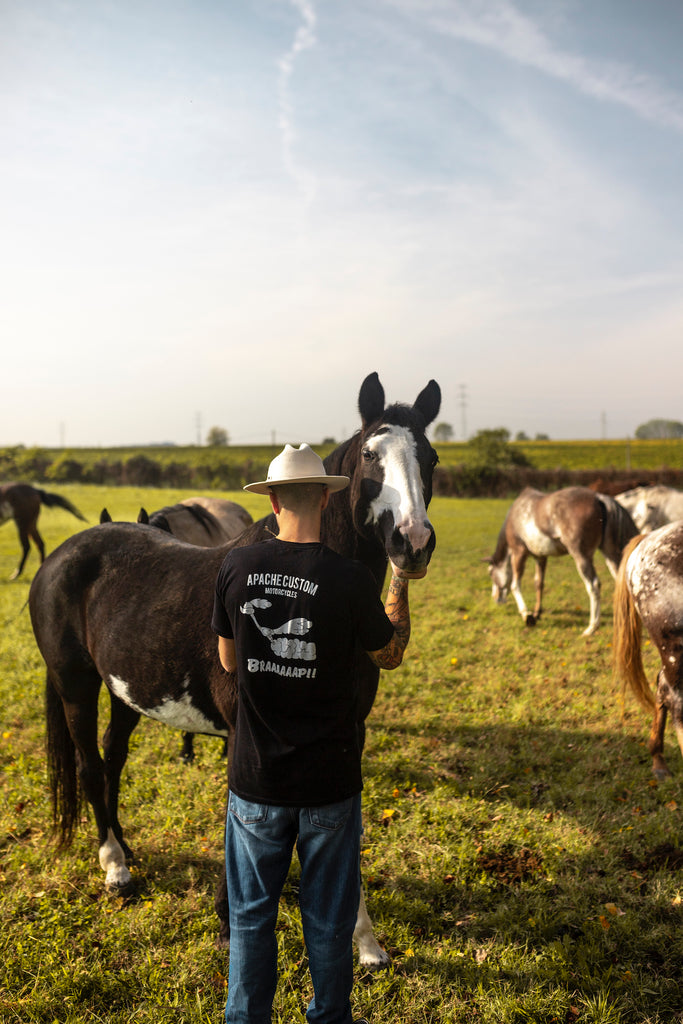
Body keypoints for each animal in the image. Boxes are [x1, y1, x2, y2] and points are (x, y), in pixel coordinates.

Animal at [29, 370, 440, 966]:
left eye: (430, 458)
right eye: (370, 454)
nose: (413, 542)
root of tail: (62, 555)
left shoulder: (348, 732)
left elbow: (346, 826)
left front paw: (365, 942)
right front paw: (230, 923)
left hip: (125, 690)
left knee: (112, 759)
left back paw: (125, 846)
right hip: (75, 686)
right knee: (88, 765)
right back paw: (114, 866)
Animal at [485, 483, 643, 634]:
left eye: (491, 573)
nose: (496, 598)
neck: (516, 514)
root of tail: (598, 497)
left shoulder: (519, 552)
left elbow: (514, 584)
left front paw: (527, 615)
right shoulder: (540, 557)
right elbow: (539, 583)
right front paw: (537, 613)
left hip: (581, 556)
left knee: (593, 585)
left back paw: (592, 627)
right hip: (609, 552)